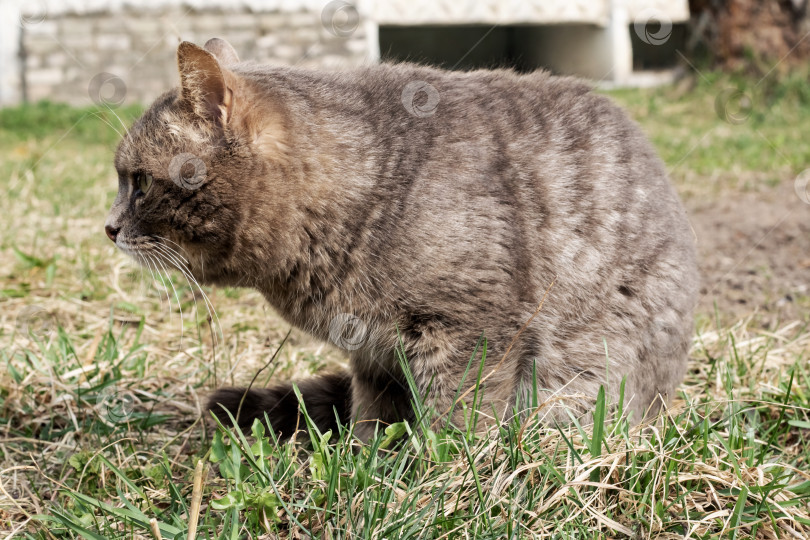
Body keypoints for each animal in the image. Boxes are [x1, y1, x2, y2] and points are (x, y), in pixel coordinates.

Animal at [104, 40, 696, 440]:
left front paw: (433, 481)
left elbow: (457, 425)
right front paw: (365, 461)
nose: (108, 227)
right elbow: (372, 417)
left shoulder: (471, 332)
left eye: (139, 183)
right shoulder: (373, 353)